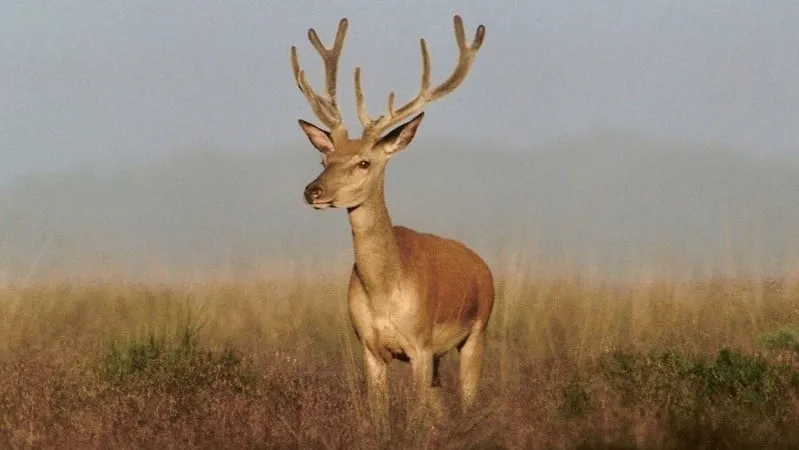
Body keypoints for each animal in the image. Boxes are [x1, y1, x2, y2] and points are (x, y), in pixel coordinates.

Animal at [290, 15, 494, 418]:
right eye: (324, 159)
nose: (312, 191)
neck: (384, 293)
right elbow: (379, 416)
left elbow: (415, 417)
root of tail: (483, 267)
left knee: (467, 398)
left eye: (363, 162)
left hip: (477, 331)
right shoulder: (370, 348)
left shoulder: (420, 345)